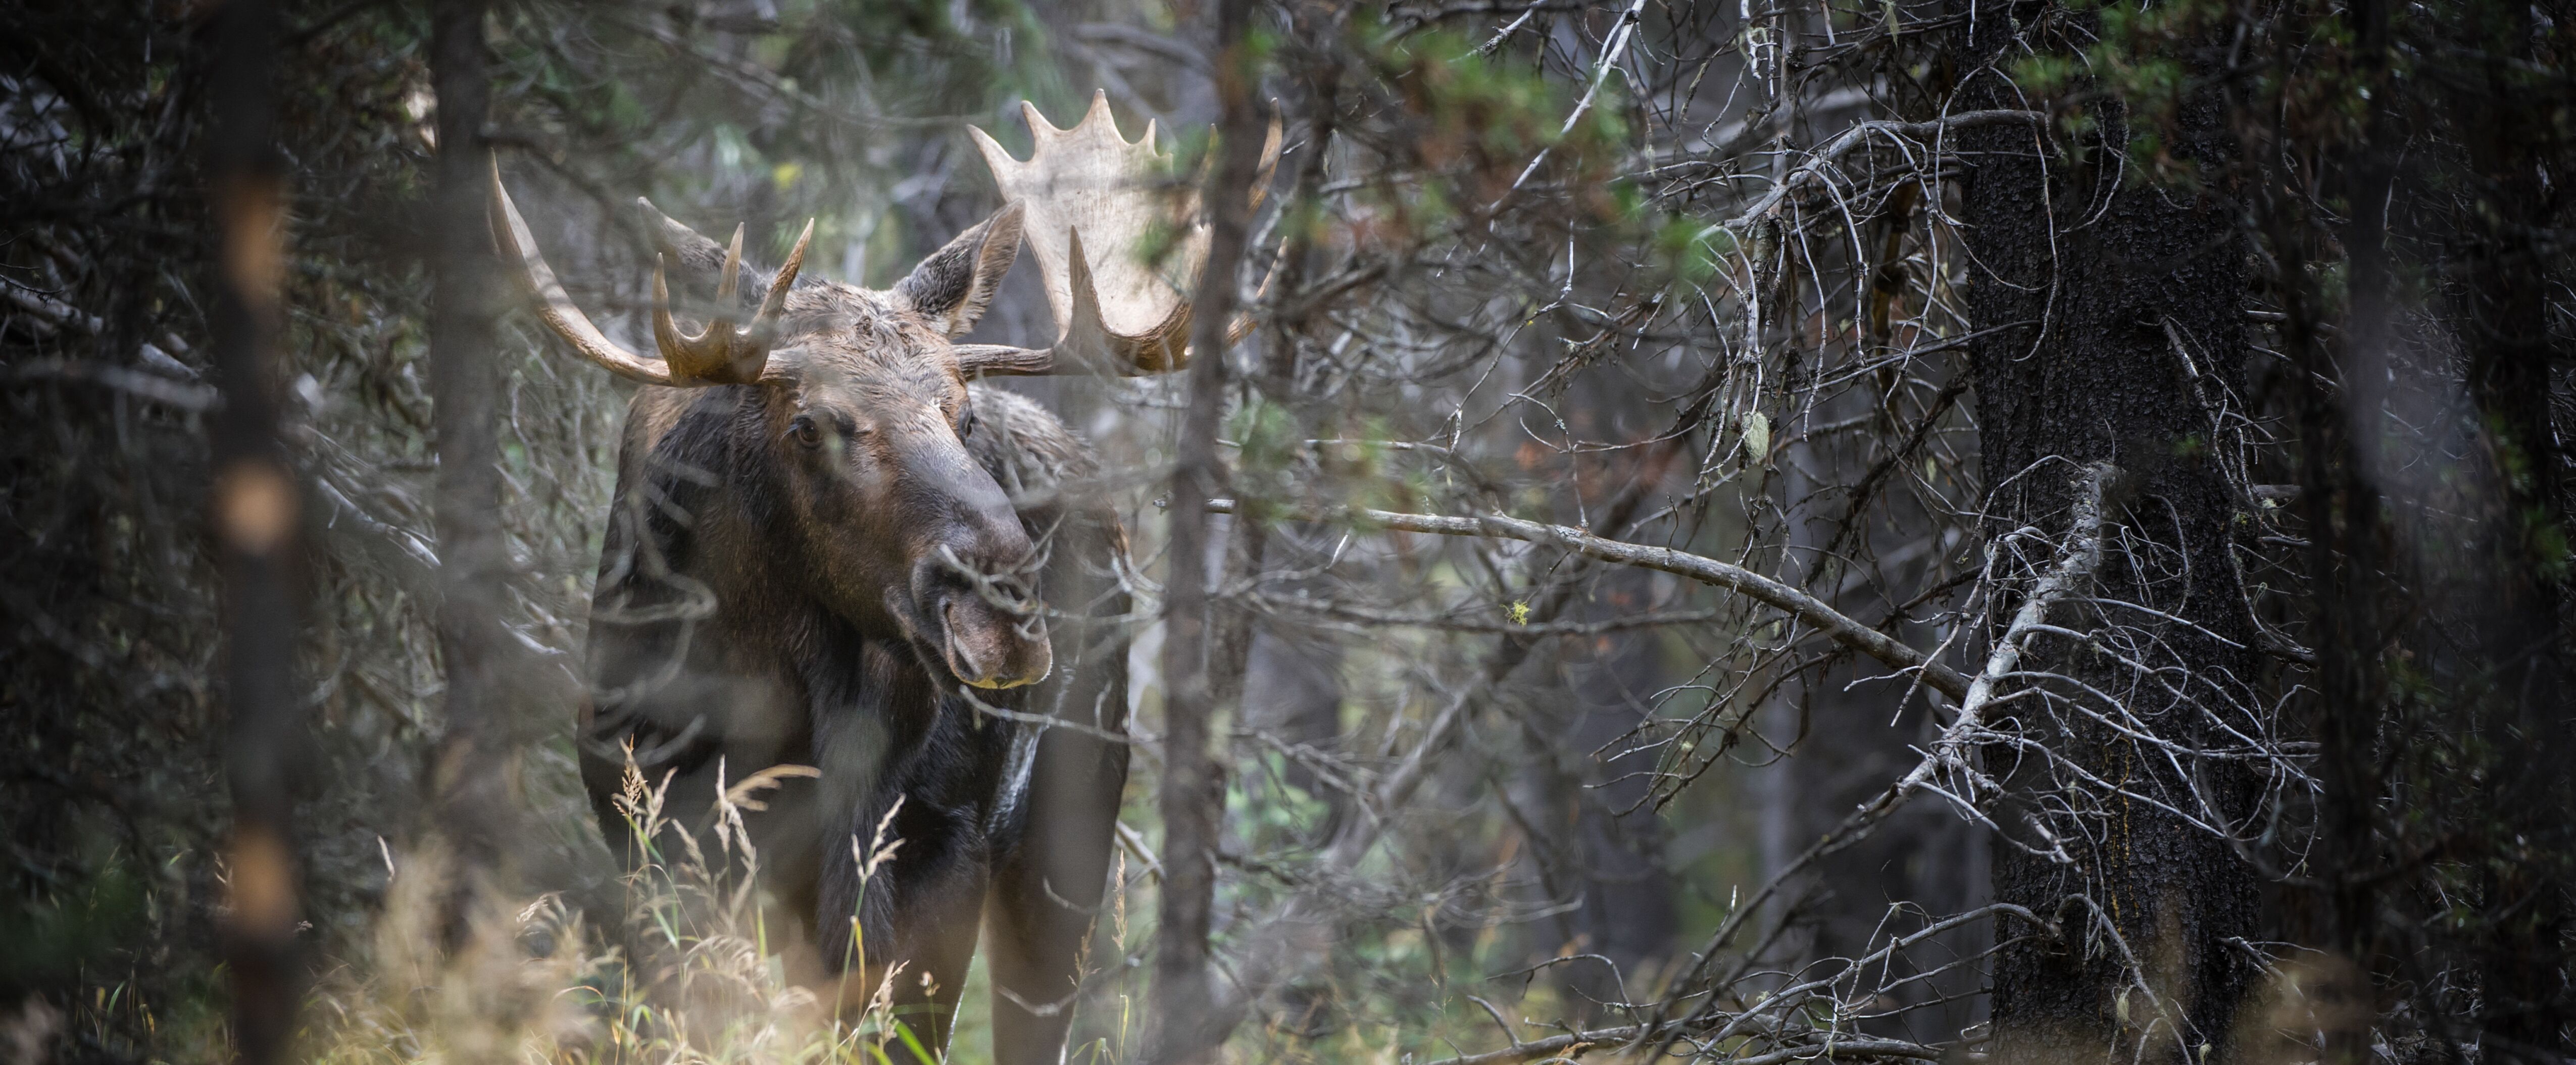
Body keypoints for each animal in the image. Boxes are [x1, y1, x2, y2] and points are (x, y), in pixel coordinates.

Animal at [484, 95, 1277, 1059]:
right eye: (808, 424)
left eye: (961, 412)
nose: (1001, 605)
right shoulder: (651, 822)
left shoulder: (936, 837)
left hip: (1072, 825)